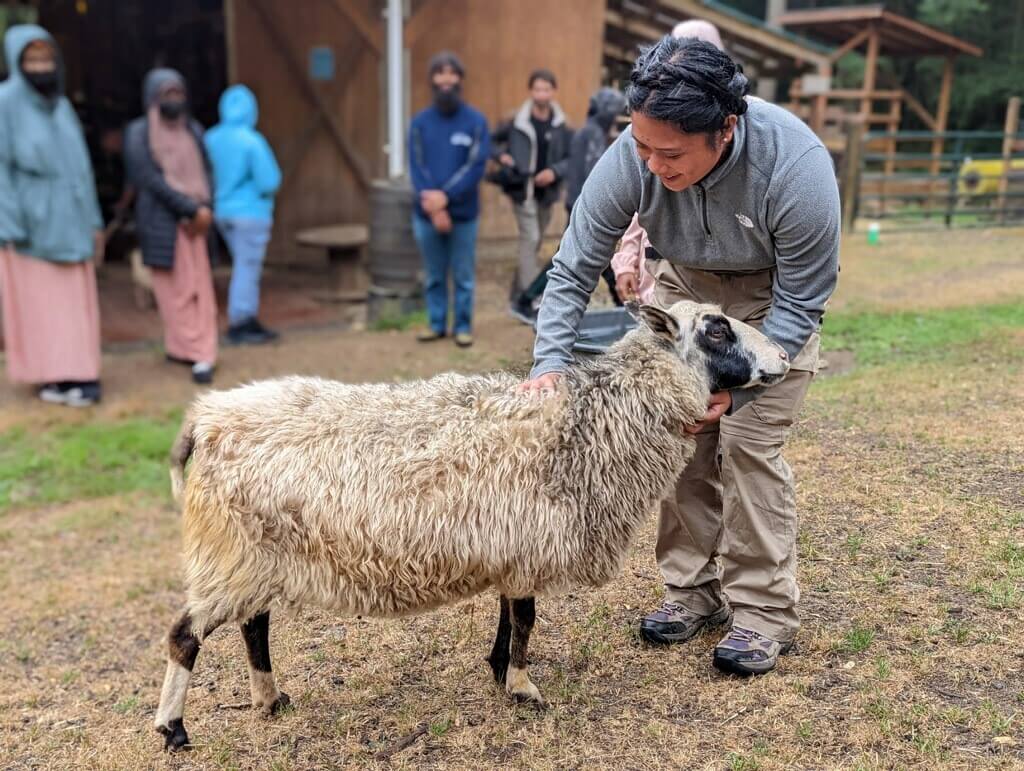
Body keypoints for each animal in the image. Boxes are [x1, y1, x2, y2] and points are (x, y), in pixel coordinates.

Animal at [154, 301, 790, 751]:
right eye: (716, 331)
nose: (783, 358)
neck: (593, 419)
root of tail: (203, 422)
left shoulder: (510, 546)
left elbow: (510, 616)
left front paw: (500, 668)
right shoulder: (528, 542)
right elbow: (527, 618)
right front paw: (525, 689)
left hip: (254, 553)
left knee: (253, 626)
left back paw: (269, 699)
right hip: (228, 550)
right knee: (186, 634)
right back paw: (174, 729)